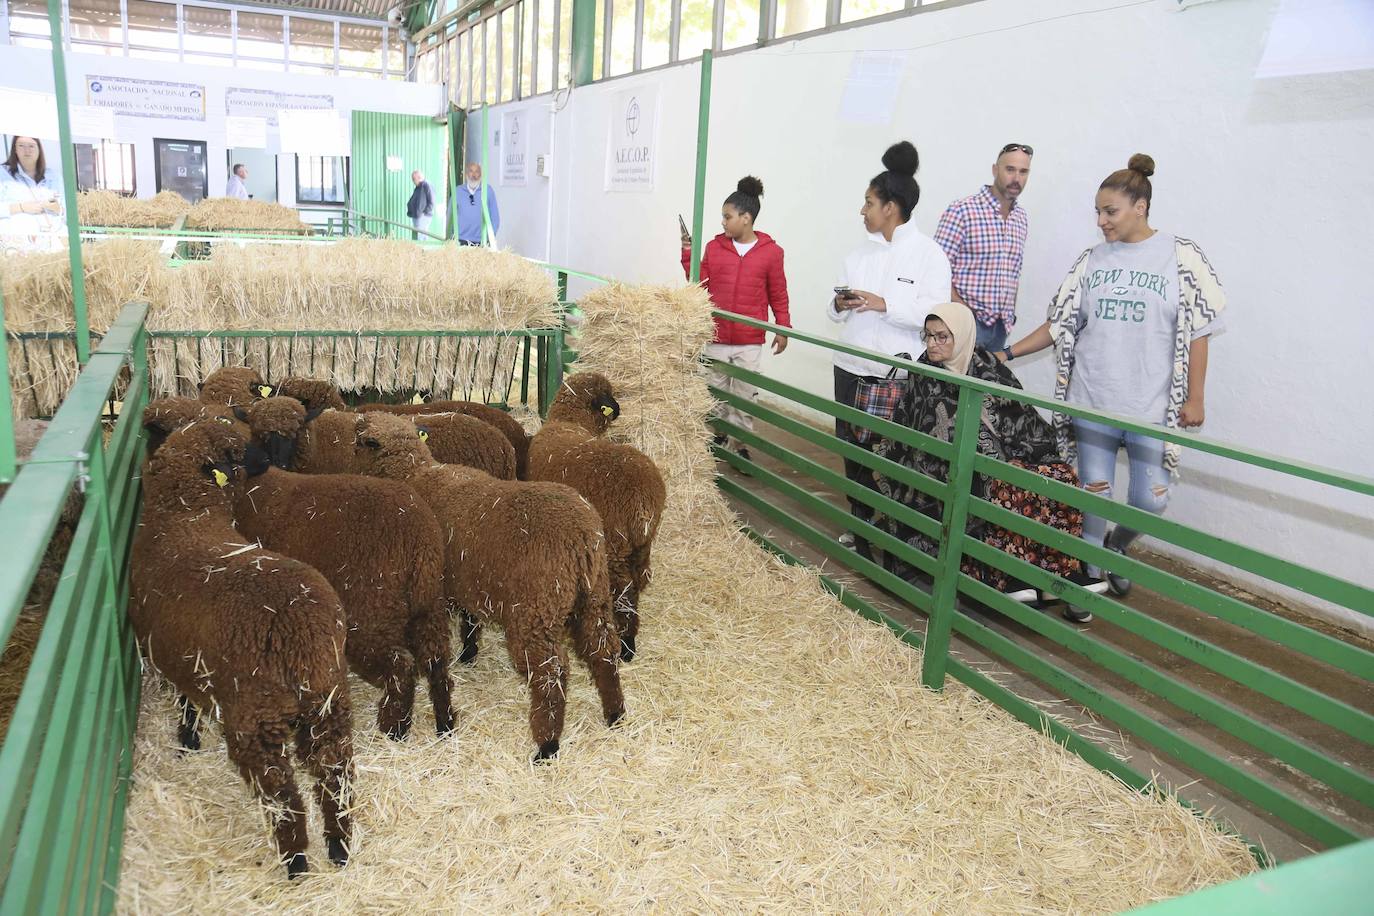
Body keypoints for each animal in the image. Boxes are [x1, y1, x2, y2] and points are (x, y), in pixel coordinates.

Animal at [130, 422, 354, 878]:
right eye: (236, 449)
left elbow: (185, 701)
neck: (184, 517)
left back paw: (296, 860)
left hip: (257, 716)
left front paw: (187, 738)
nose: (268, 460)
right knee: (333, 771)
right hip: (329, 698)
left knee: (281, 791)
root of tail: (297, 627)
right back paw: (338, 846)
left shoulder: (178, 659)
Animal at [233, 398, 453, 741]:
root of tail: (418, 540)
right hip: (428, 602)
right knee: (436, 659)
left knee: (401, 665)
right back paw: (445, 723)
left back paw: (394, 728)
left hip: (370, 614)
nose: (277, 461)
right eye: (260, 432)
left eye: (296, 431)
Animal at [289, 411, 623, 763]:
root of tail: (579, 535)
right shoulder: (462, 581)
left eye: (360, 442)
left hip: (536, 610)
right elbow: (469, 617)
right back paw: (615, 715)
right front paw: (469, 653)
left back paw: (547, 746)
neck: (414, 473)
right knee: (603, 649)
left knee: (551, 672)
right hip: (595, 594)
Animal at [527, 373, 667, 667]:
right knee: (638, 583)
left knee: (625, 594)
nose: (619, 410)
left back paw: (626, 646)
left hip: (615, 547)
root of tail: (645, 497)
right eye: (609, 394)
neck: (569, 422)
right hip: (642, 546)